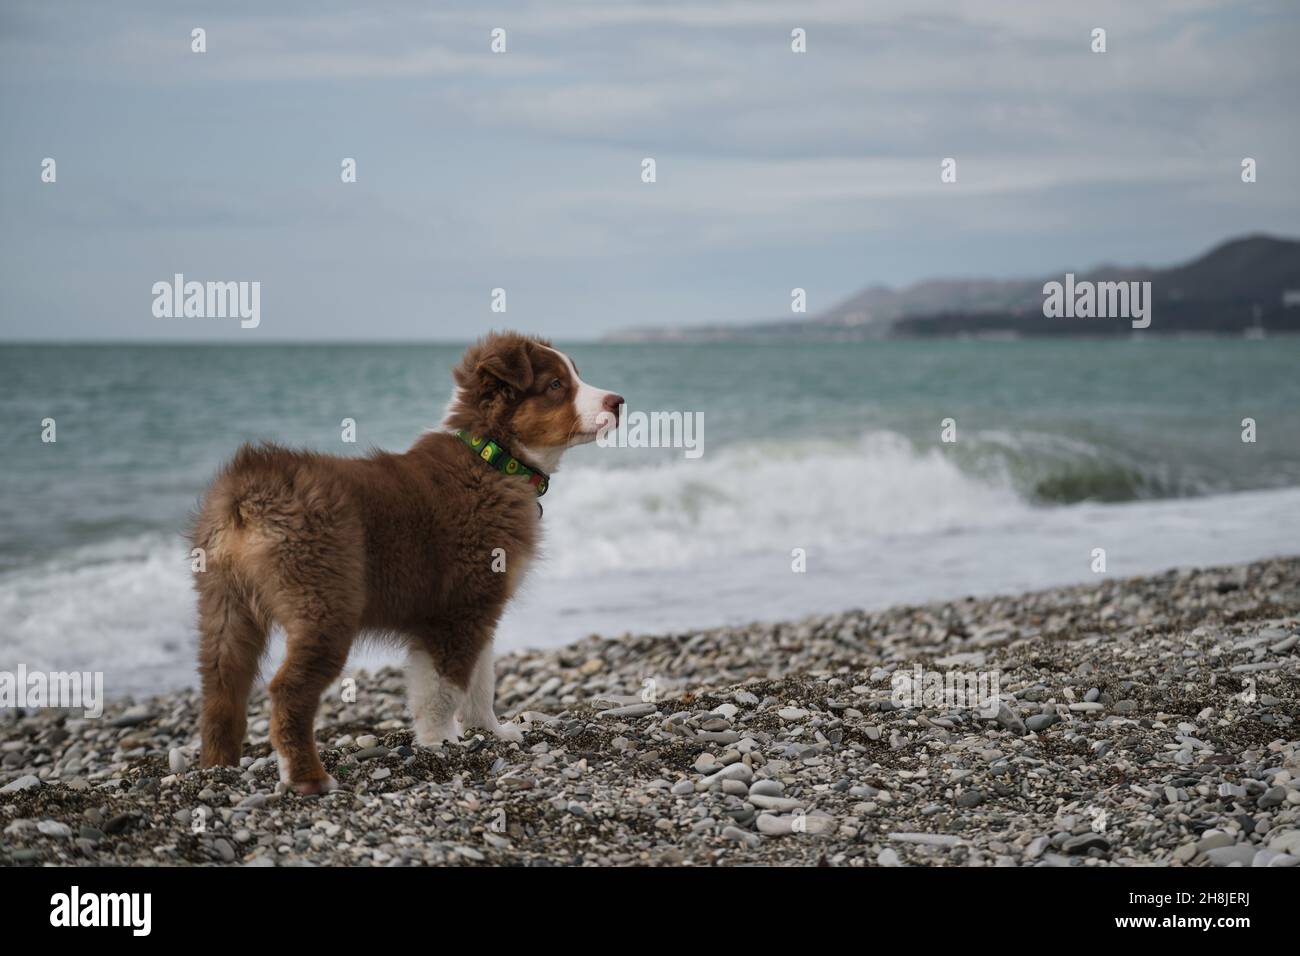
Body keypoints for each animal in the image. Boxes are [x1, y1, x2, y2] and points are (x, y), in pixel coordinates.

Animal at [188, 332, 624, 796]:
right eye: (556, 385)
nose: (619, 401)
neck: (493, 459)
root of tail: (249, 489)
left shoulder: (480, 606)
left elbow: (481, 679)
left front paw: (490, 732)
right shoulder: (455, 610)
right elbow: (444, 688)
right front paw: (442, 743)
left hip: (223, 604)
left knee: (221, 688)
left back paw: (217, 769)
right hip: (324, 603)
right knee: (287, 690)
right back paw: (307, 777)